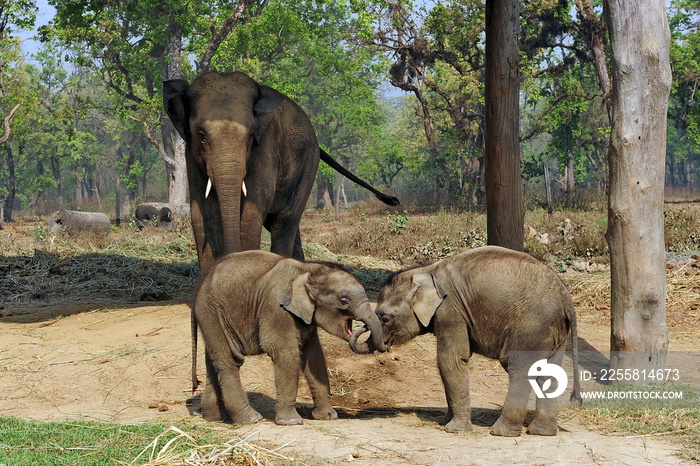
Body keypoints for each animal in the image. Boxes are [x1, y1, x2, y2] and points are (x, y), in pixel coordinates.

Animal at [161, 72, 396, 274]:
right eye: (201, 134)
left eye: (251, 135)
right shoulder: (190, 155)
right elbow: (203, 212)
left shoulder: (266, 144)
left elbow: (252, 211)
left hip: (309, 162)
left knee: (284, 221)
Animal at [193, 251, 388, 426]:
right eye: (344, 300)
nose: (365, 326)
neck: (308, 269)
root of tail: (201, 284)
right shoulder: (276, 308)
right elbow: (286, 354)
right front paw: (292, 422)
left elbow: (314, 356)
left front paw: (328, 417)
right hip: (212, 312)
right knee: (230, 361)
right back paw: (251, 419)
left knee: (214, 361)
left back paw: (215, 418)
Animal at [348, 248, 584, 436]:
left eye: (385, 317)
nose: (359, 326)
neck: (427, 270)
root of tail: (565, 296)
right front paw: (444, 421)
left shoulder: (451, 310)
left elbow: (449, 360)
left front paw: (454, 429)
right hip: (554, 331)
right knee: (550, 372)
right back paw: (541, 433)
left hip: (531, 326)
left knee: (518, 368)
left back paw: (501, 432)